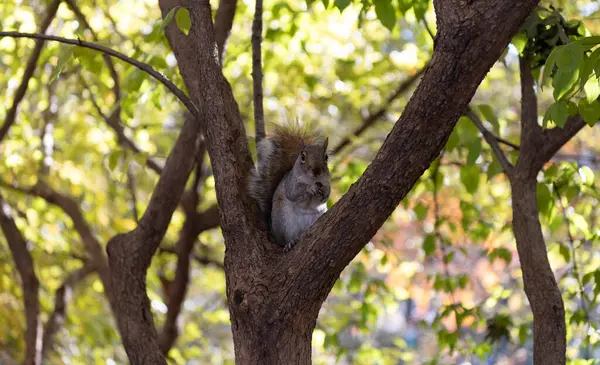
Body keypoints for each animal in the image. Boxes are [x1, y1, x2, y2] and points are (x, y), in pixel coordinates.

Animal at [248, 121, 332, 252]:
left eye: (326, 157)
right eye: (303, 157)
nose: (316, 171)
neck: (312, 180)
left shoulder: (326, 182)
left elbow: (325, 197)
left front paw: (322, 192)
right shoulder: (291, 183)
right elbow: (293, 193)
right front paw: (309, 189)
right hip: (284, 221)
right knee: (286, 239)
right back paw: (290, 242)